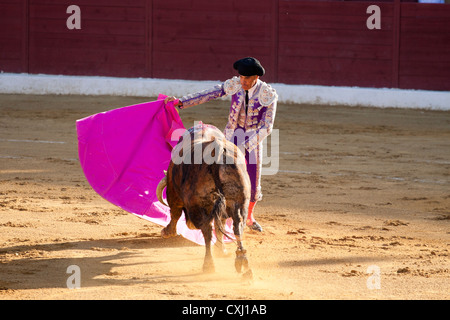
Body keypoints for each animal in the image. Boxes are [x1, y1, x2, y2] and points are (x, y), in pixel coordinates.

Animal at [156, 124, 251, 274]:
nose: (190, 225)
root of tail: (217, 150)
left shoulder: (173, 193)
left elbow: (175, 213)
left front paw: (167, 232)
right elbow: (220, 225)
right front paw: (222, 250)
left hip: (197, 204)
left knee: (207, 229)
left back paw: (208, 264)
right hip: (240, 201)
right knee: (237, 226)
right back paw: (242, 260)